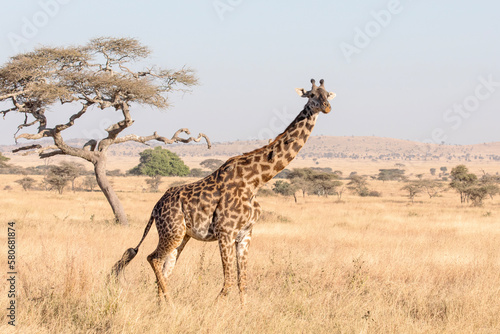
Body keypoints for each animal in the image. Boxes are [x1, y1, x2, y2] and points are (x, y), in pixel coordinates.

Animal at [112, 78, 338, 306]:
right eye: (311, 95)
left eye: (327, 94)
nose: (327, 107)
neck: (255, 181)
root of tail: (155, 208)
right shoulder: (226, 232)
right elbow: (228, 280)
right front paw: (213, 308)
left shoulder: (245, 233)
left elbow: (242, 281)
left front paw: (243, 310)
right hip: (172, 231)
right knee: (154, 258)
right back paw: (171, 304)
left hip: (182, 235)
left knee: (166, 268)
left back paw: (162, 306)